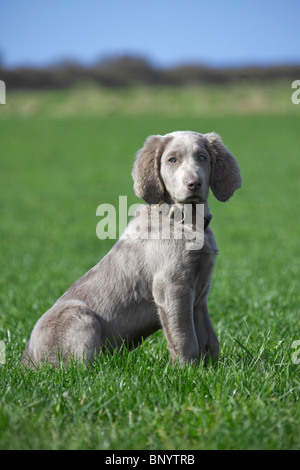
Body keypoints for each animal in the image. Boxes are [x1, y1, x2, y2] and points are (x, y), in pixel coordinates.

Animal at [21, 131, 241, 368]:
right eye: (172, 160)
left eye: (202, 157)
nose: (194, 183)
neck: (186, 221)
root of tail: (25, 361)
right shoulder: (172, 288)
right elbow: (185, 337)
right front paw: (187, 369)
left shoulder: (200, 292)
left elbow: (209, 338)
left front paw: (211, 367)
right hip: (79, 314)